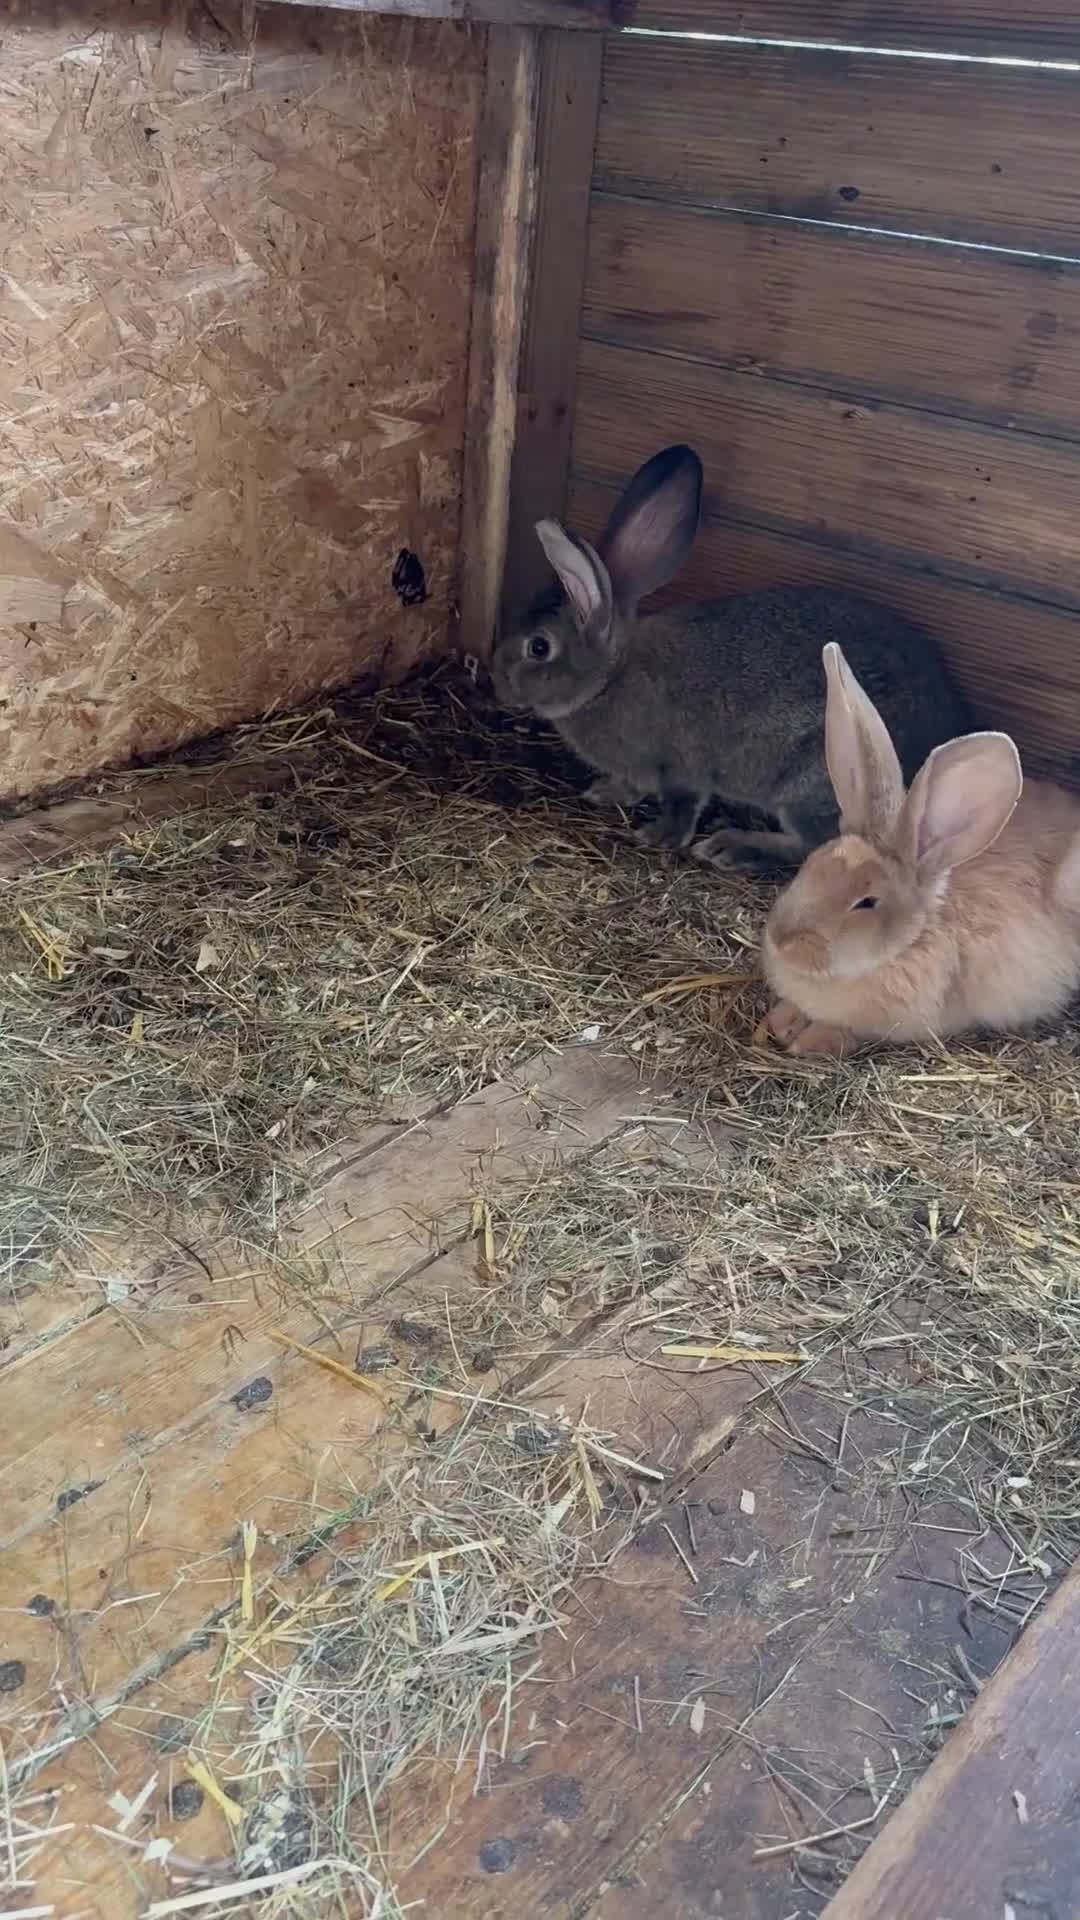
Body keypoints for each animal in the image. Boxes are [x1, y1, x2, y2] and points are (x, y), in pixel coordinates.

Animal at [491, 444, 971, 865]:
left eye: (538, 647)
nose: (498, 684)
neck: (611, 678)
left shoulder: (679, 766)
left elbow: (683, 803)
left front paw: (660, 835)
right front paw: (607, 792)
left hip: (815, 781)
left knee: (815, 847)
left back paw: (733, 847)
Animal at [763, 641, 1080, 1057]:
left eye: (866, 902)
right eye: (810, 865)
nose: (781, 940)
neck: (907, 944)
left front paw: (812, 1040)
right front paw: (781, 1021)